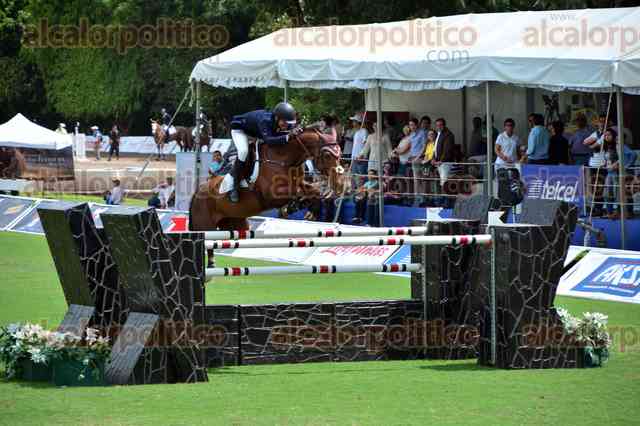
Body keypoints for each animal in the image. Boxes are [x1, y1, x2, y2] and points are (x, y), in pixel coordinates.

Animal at [190, 129, 348, 266]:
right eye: (327, 155)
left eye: (340, 153)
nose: (340, 184)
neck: (284, 159)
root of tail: (198, 191)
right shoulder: (272, 195)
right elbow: (296, 193)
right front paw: (290, 208)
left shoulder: (300, 184)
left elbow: (313, 192)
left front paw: (307, 208)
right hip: (205, 225)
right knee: (208, 242)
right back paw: (210, 265)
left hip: (236, 223)